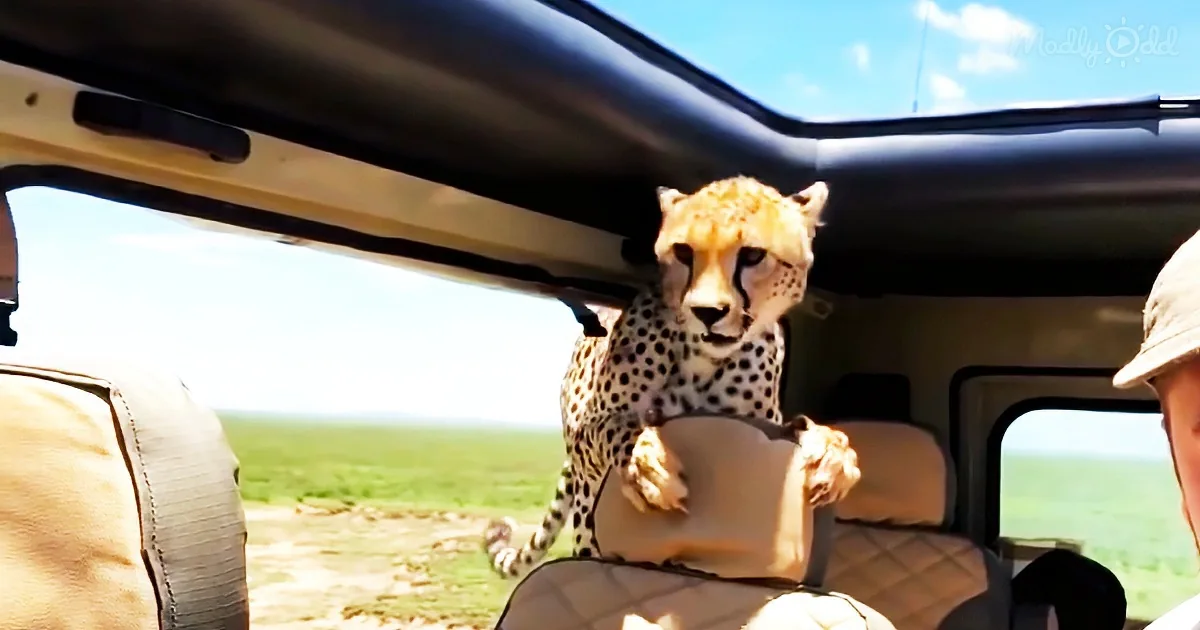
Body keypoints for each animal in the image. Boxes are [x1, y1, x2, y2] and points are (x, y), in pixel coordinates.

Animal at [483, 176, 861, 578]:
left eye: (753, 256)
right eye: (683, 252)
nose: (706, 312)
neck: (703, 359)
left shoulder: (759, 424)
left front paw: (834, 454)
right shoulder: (588, 432)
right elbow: (616, 425)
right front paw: (646, 465)